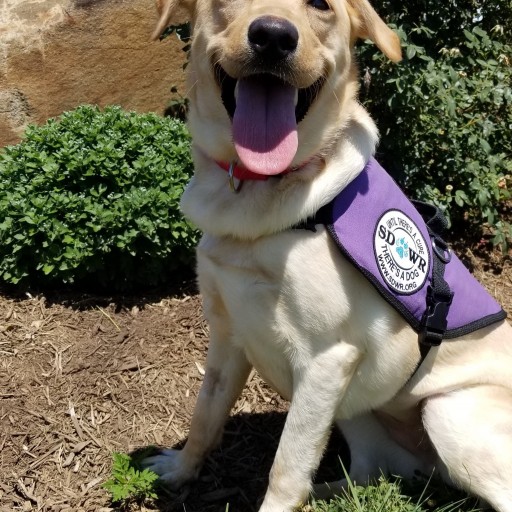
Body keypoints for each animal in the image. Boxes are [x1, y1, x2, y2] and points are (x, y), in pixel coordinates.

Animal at [143, 1, 512, 512]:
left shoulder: (326, 359)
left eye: (321, 5)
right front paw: (180, 469)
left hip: (446, 412)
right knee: (372, 470)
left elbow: (285, 469)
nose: (273, 37)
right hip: (357, 408)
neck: (260, 193)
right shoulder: (228, 334)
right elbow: (205, 416)